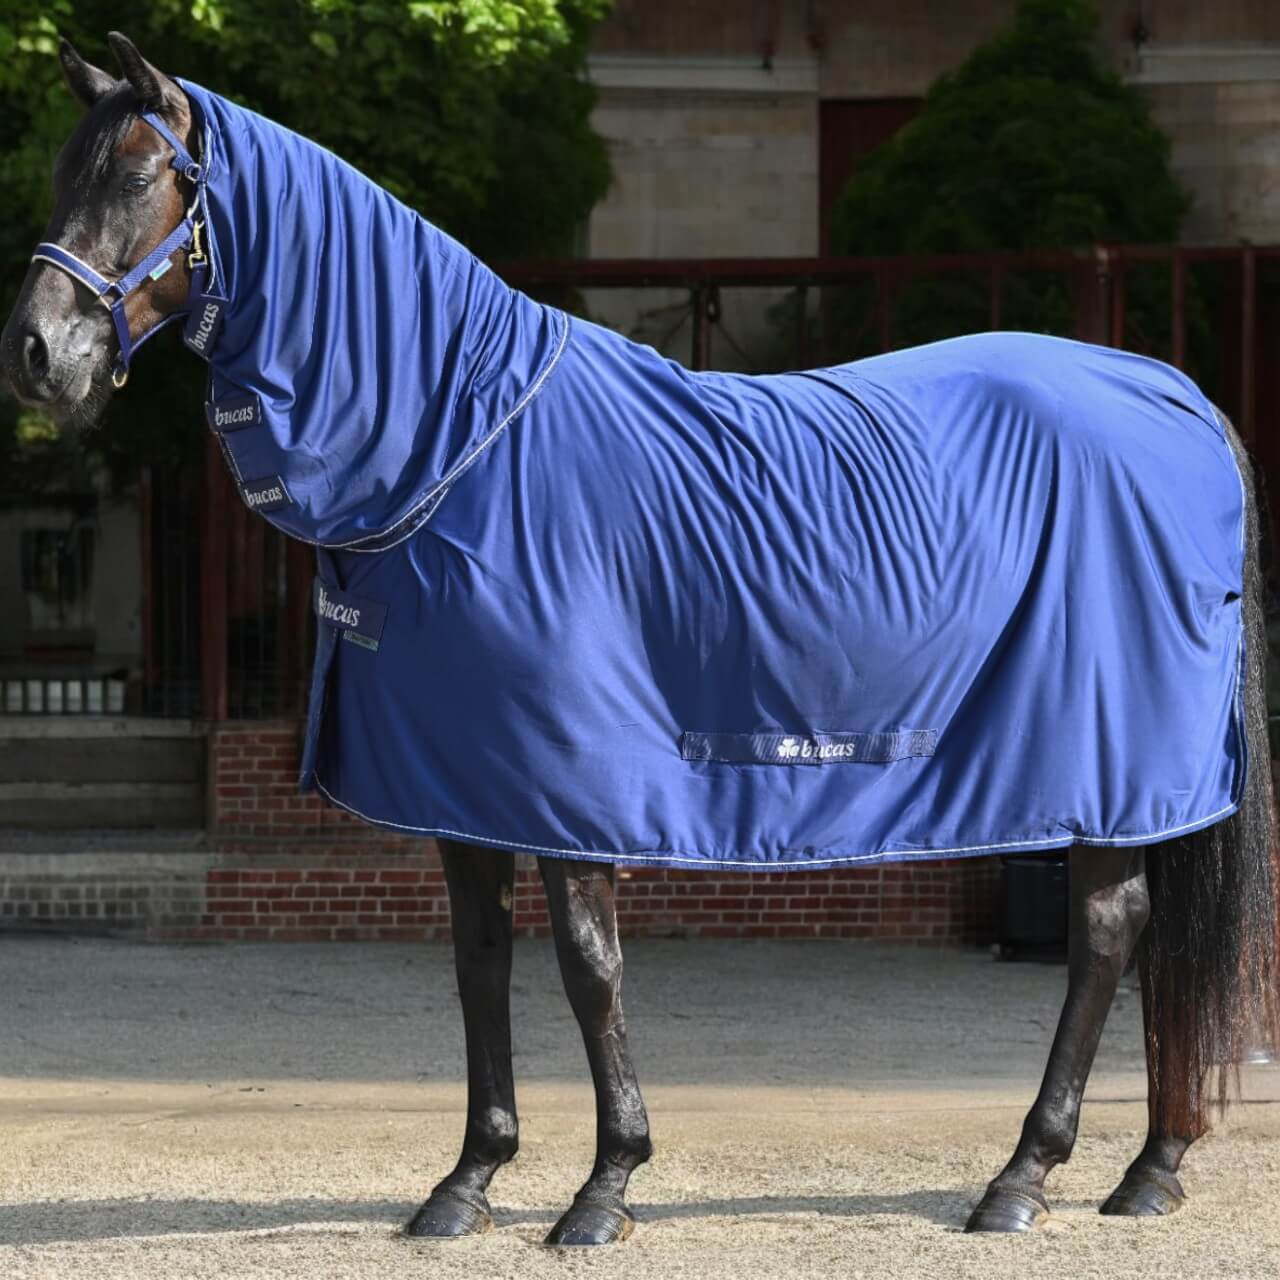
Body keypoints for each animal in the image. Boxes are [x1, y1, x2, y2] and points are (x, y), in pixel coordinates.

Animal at [2, 33, 1277, 1246]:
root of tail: (1169, 390)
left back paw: (1024, 1175)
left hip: (1107, 764)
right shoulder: (461, 785)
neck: (458, 448)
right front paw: (467, 1181)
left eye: (141, 176)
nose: (34, 352)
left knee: (1104, 931)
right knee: (1146, 939)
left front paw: (604, 1185)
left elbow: (587, 964)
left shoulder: (571, 784)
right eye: (61, 173)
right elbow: (478, 960)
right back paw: (1146, 1168)